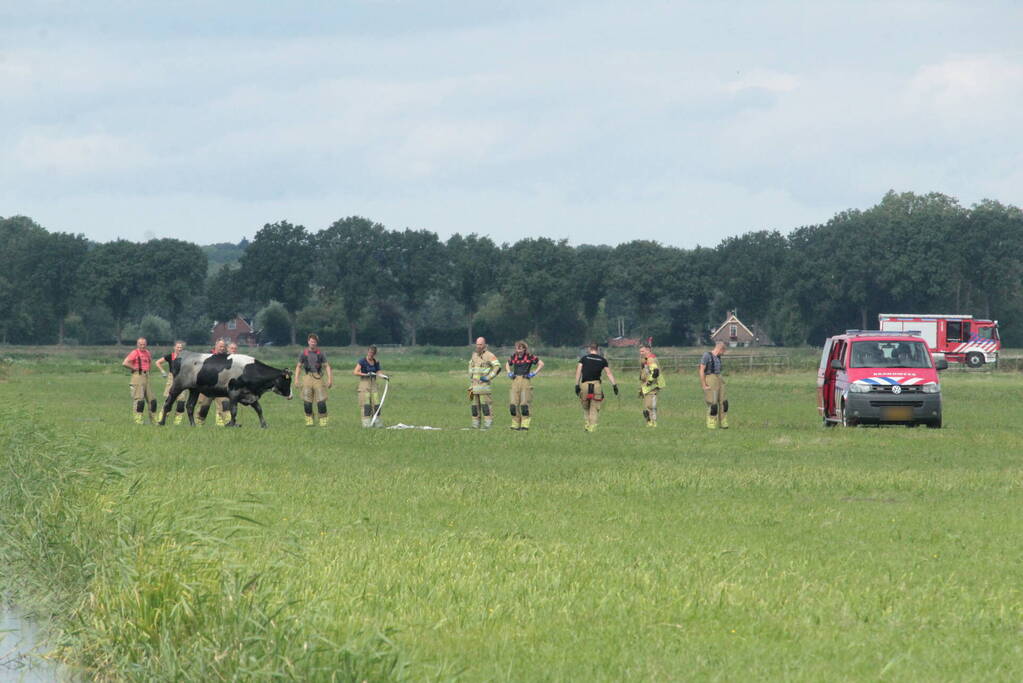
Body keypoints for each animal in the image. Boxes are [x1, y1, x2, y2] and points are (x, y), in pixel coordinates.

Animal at [158, 351, 292, 428]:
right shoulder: (233, 392)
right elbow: (233, 410)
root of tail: (182, 355)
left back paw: (193, 425)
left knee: (190, 406)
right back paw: (161, 422)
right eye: (287, 381)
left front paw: (264, 425)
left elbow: (259, 409)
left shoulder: (250, 394)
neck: (248, 370)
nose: (291, 395)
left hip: (194, 390)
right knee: (168, 403)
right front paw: (231, 424)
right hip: (177, 386)